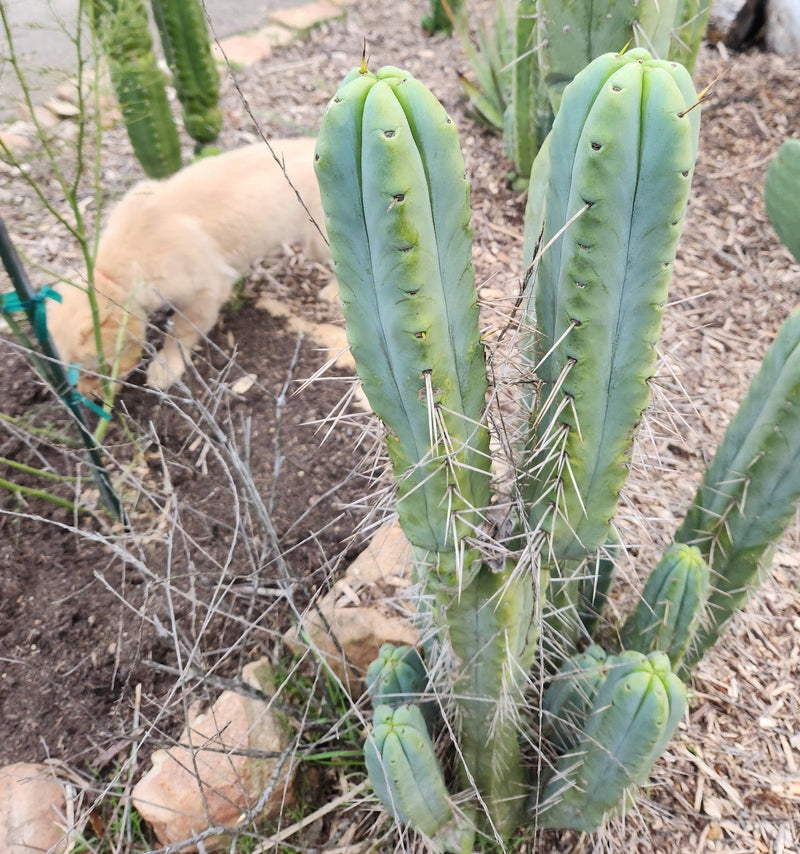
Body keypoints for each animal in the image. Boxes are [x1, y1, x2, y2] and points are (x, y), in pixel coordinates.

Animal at [47, 139, 326, 396]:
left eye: (99, 371)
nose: (88, 398)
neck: (114, 273)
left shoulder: (206, 292)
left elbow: (180, 333)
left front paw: (164, 367)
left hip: (317, 239)